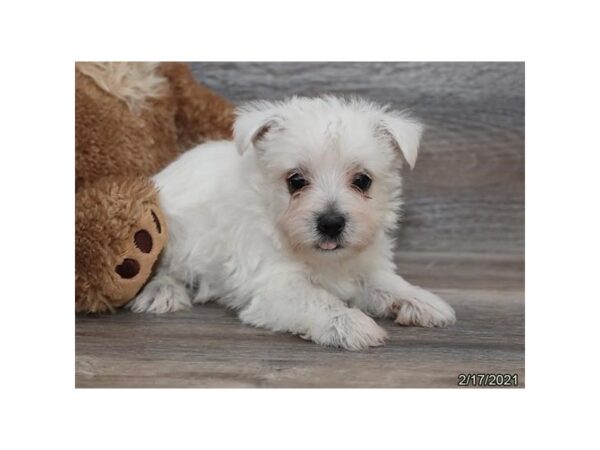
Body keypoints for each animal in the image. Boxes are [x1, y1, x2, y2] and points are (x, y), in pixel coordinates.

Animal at [127, 96, 454, 350]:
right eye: (295, 181)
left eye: (363, 181)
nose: (331, 223)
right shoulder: (276, 285)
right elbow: (318, 300)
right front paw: (349, 322)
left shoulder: (366, 264)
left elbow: (386, 283)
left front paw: (421, 300)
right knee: (163, 267)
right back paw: (163, 292)